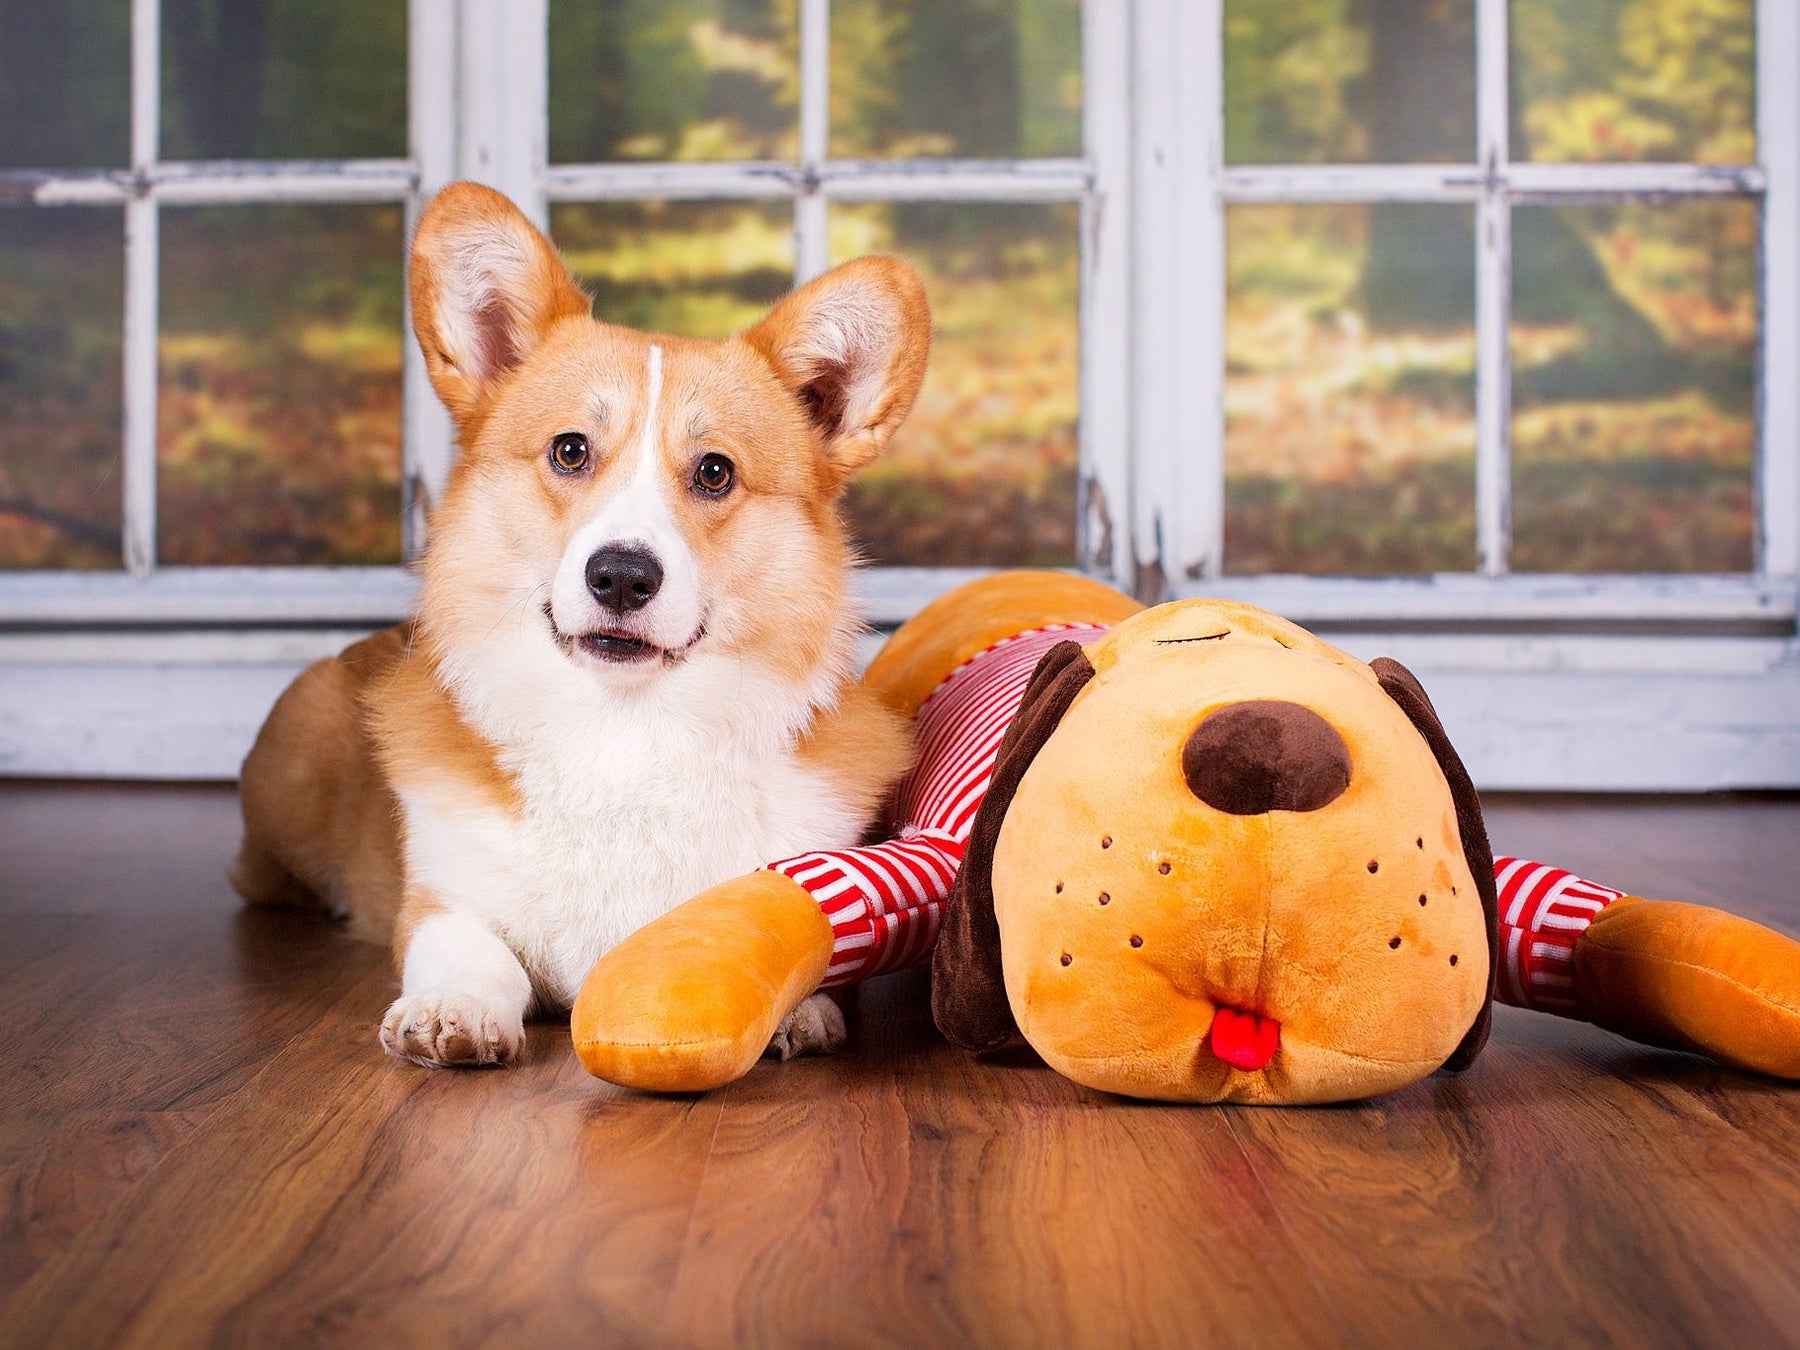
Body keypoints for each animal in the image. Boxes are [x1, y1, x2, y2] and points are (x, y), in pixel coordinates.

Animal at [230, 182, 921, 1065]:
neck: (621, 733)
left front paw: (796, 1010)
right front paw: (454, 1008)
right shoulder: (441, 900)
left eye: (715, 472)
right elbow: (471, 949)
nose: (621, 575)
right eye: (569, 451)